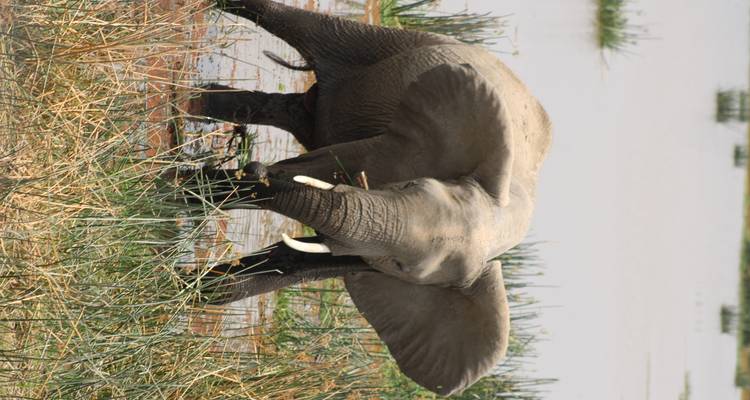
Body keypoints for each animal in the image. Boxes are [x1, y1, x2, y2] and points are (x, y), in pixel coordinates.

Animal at [184, 0, 552, 396]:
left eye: (400, 267)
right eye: (409, 187)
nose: (256, 168)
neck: (499, 213)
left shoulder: (367, 256)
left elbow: (302, 262)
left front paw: (194, 288)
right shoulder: (392, 151)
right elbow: (321, 166)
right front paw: (195, 188)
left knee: (296, 111)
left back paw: (199, 106)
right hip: (400, 42)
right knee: (313, 33)